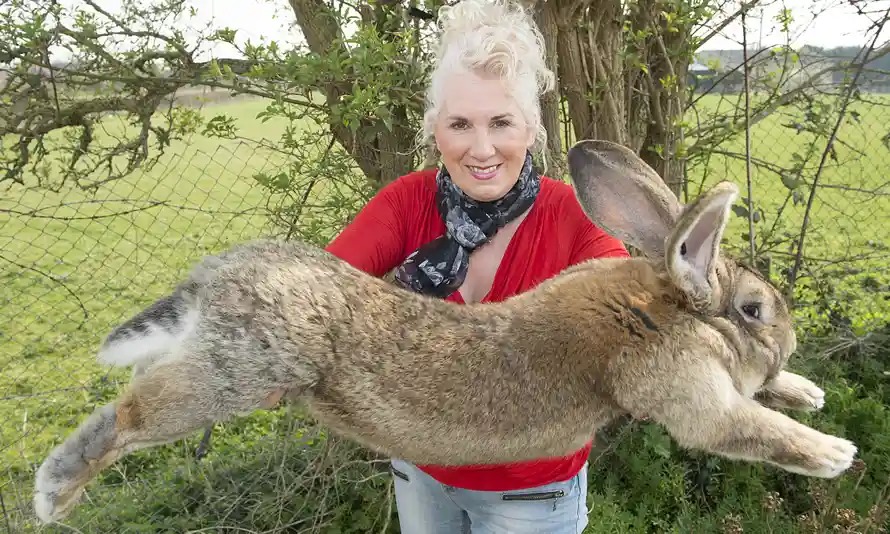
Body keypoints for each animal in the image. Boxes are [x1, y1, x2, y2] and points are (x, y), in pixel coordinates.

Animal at [33, 139, 856, 525]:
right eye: (755, 310)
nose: (788, 342)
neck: (663, 306)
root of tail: (214, 279)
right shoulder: (688, 393)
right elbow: (746, 427)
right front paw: (833, 452)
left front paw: (806, 390)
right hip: (233, 374)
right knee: (130, 414)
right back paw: (54, 493)